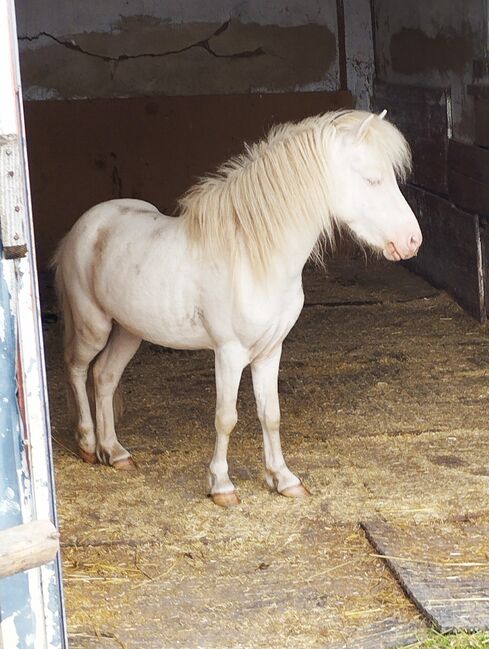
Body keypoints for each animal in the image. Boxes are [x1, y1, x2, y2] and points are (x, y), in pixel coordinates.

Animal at [53, 110, 420, 506]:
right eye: (372, 179)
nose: (413, 241)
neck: (251, 257)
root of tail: (85, 225)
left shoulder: (270, 351)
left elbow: (270, 414)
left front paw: (284, 479)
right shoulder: (229, 353)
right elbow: (226, 418)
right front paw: (222, 486)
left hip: (128, 331)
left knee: (104, 377)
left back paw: (115, 452)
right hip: (94, 325)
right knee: (77, 369)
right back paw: (88, 443)